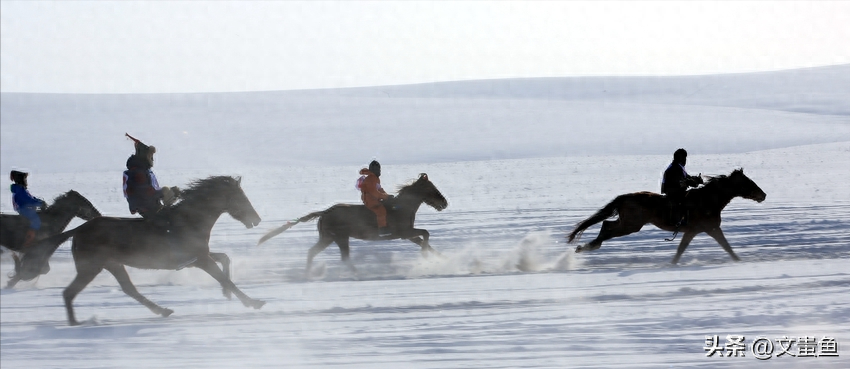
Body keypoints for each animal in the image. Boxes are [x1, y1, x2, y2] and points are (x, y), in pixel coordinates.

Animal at [17, 176, 264, 324]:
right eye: (240, 197)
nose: (257, 219)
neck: (190, 221)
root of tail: (78, 230)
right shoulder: (200, 260)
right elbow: (224, 277)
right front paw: (253, 302)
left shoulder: (198, 257)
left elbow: (225, 260)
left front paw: (228, 295)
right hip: (91, 267)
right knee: (69, 293)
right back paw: (76, 323)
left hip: (112, 264)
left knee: (129, 289)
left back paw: (163, 311)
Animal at [256, 171, 444, 272]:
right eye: (431, 188)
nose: (444, 203)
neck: (401, 208)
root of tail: (325, 212)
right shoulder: (404, 232)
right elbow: (426, 233)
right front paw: (424, 255)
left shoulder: (407, 235)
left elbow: (424, 240)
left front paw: (440, 257)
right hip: (340, 237)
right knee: (344, 258)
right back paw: (357, 273)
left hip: (328, 237)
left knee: (312, 252)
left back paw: (308, 274)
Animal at [568, 168, 764, 264]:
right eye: (747, 182)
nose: (763, 195)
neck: (708, 200)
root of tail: (625, 197)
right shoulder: (708, 228)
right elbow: (725, 246)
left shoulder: (697, 231)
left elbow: (683, 249)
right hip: (631, 225)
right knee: (607, 228)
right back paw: (586, 247)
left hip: (628, 223)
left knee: (606, 225)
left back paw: (588, 246)